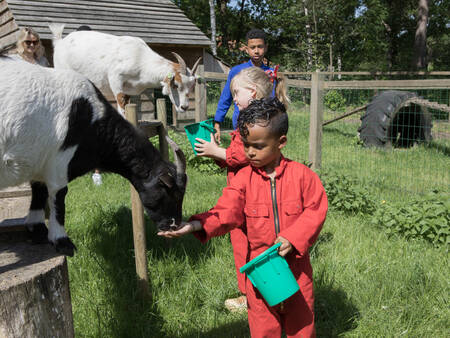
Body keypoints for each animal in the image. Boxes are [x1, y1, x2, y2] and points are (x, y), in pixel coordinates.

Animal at [0, 56, 186, 255]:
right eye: (171, 193)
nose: (174, 225)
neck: (93, 121)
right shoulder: (61, 159)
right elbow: (59, 195)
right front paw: (62, 241)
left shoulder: (41, 162)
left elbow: (39, 190)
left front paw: (37, 231)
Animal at [48, 23, 201, 114]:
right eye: (175, 84)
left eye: (192, 86)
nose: (184, 107)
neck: (141, 59)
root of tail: (60, 42)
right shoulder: (116, 78)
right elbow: (121, 103)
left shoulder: (130, 89)